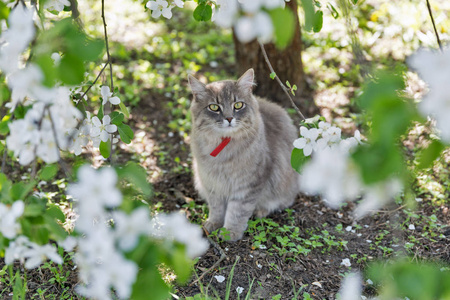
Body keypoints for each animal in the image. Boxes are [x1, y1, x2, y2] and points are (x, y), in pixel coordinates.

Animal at [188, 68, 300, 241]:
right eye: (214, 107)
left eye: (238, 105)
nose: (229, 118)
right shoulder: (212, 183)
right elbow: (216, 208)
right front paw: (213, 224)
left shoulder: (248, 185)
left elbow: (237, 212)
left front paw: (229, 233)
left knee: (282, 202)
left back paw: (260, 211)